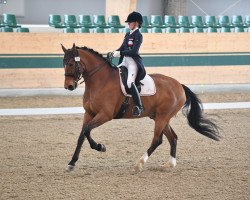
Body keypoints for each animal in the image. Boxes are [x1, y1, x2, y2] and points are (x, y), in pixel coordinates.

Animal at [61, 43, 220, 172]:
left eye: (71, 63)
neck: (100, 80)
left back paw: (139, 164)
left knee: (157, 140)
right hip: (160, 117)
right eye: (63, 63)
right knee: (173, 138)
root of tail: (179, 85)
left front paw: (100, 147)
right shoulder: (88, 113)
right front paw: (72, 163)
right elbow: (82, 135)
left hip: (162, 117)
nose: (69, 86)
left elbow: (87, 131)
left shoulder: (105, 115)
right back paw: (169, 164)